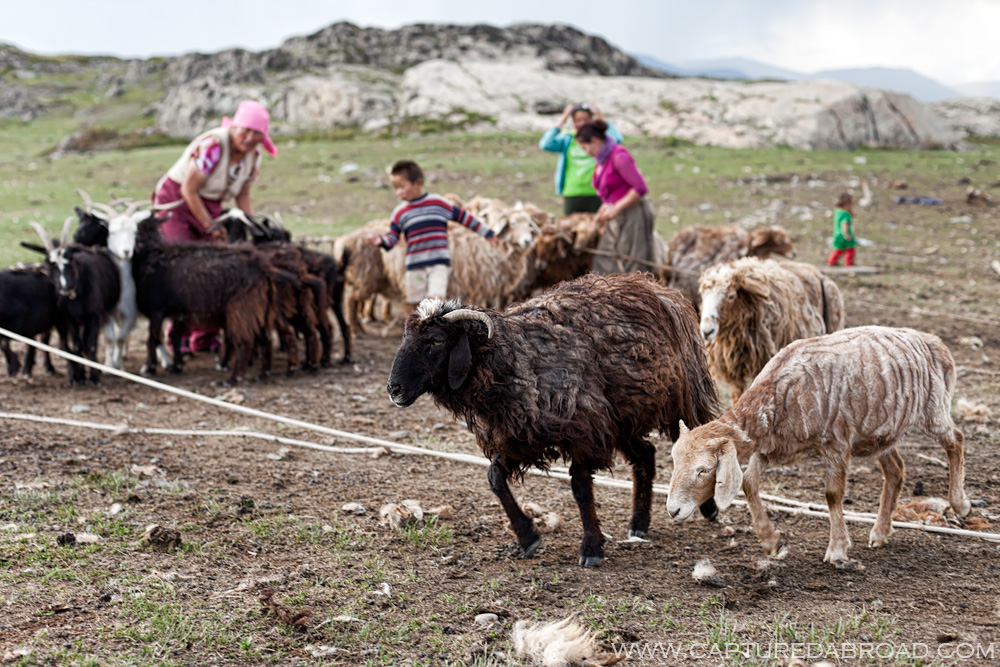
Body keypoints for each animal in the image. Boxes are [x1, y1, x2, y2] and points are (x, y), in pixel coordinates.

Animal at [23, 220, 120, 385]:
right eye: (49, 264)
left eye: (70, 262)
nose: (64, 288)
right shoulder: (69, 318)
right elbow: (76, 345)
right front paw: (78, 376)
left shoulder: (95, 316)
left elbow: (91, 345)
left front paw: (94, 377)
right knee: (46, 338)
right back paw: (43, 368)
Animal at [387, 273, 719, 567]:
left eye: (436, 340)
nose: (394, 389)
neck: (514, 361)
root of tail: (656, 286)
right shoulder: (516, 437)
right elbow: (495, 480)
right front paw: (528, 538)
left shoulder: (585, 432)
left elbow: (581, 489)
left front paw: (591, 549)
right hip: (622, 417)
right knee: (645, 456)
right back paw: (639, 523)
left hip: (682, 400)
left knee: (695, 446)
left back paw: (708, 507)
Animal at [666, 326, 971, 565]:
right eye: (674, 463)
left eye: (703, 470)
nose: (673, 511)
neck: (777, 396)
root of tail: (933, 341)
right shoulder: (772, 447)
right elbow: (749, 483)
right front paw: (771, 540)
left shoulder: (837, 443)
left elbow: (832, 495)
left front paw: (837, 549)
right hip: (880, 431)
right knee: (896, 470)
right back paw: (880, 532)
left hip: (933, 408)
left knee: (956, 440)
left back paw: (960, 504)